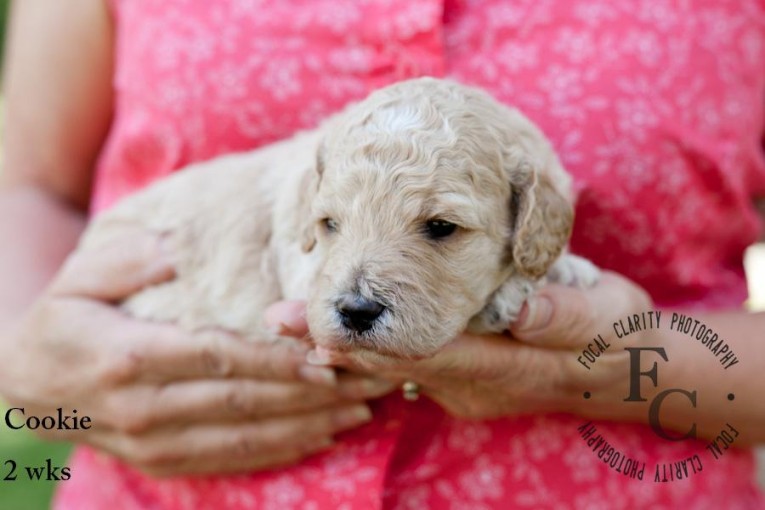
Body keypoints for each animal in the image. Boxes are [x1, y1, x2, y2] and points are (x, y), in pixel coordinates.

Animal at [82, 76, 596, 362]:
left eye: (441, 228)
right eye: (330, 225)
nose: (356, 312)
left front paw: (567, 268)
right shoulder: (299, 265)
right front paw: (513, 292)